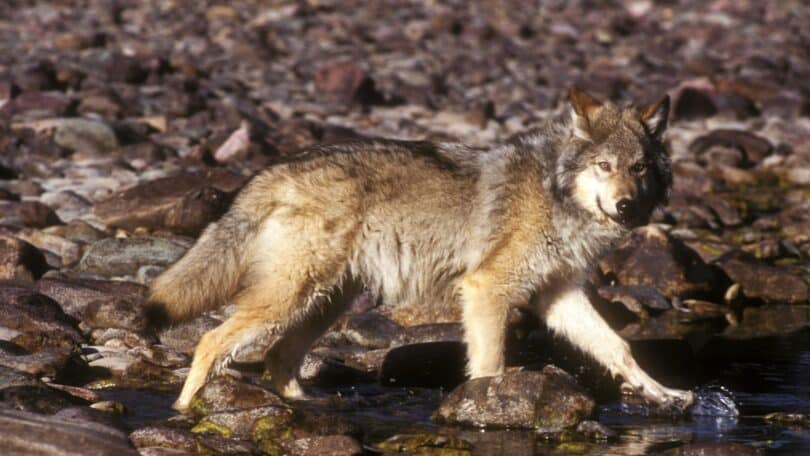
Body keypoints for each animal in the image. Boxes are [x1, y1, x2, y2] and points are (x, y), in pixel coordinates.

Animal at [148, 87, 694, 412]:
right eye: (604, 166)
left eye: (639, 168)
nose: (626, 206)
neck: (555, 193)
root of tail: (273, 170)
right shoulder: (486, 290)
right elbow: (490, 364)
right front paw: (490, 404)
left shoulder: (557, 296)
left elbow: (619, 348)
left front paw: (664, 393)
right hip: (291, 298)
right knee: (210, 341)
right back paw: (182, 411)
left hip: (324, 303)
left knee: (278, 357)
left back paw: (311, 405)